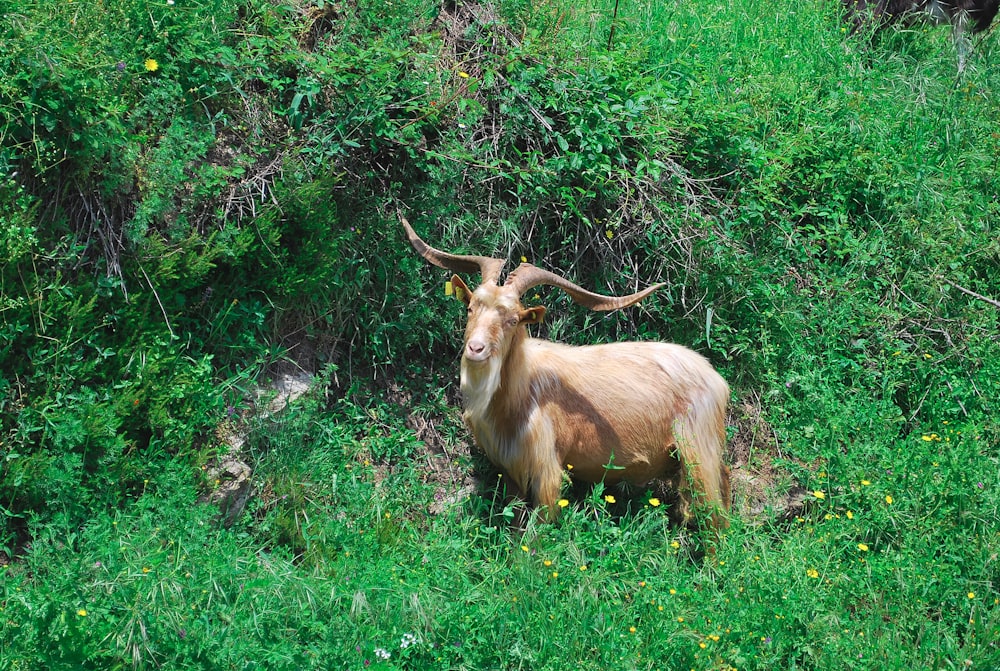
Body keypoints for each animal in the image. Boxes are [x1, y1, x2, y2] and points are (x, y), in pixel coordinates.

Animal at [400, 218, 736, 532]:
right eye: (470, 307)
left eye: (513, 320)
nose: (476, 348)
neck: (520, 393)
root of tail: (716, 378)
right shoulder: (510, 470)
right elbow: (515, 525)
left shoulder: (548, 470)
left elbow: (533, 539)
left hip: (699, 448)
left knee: (715, 516)